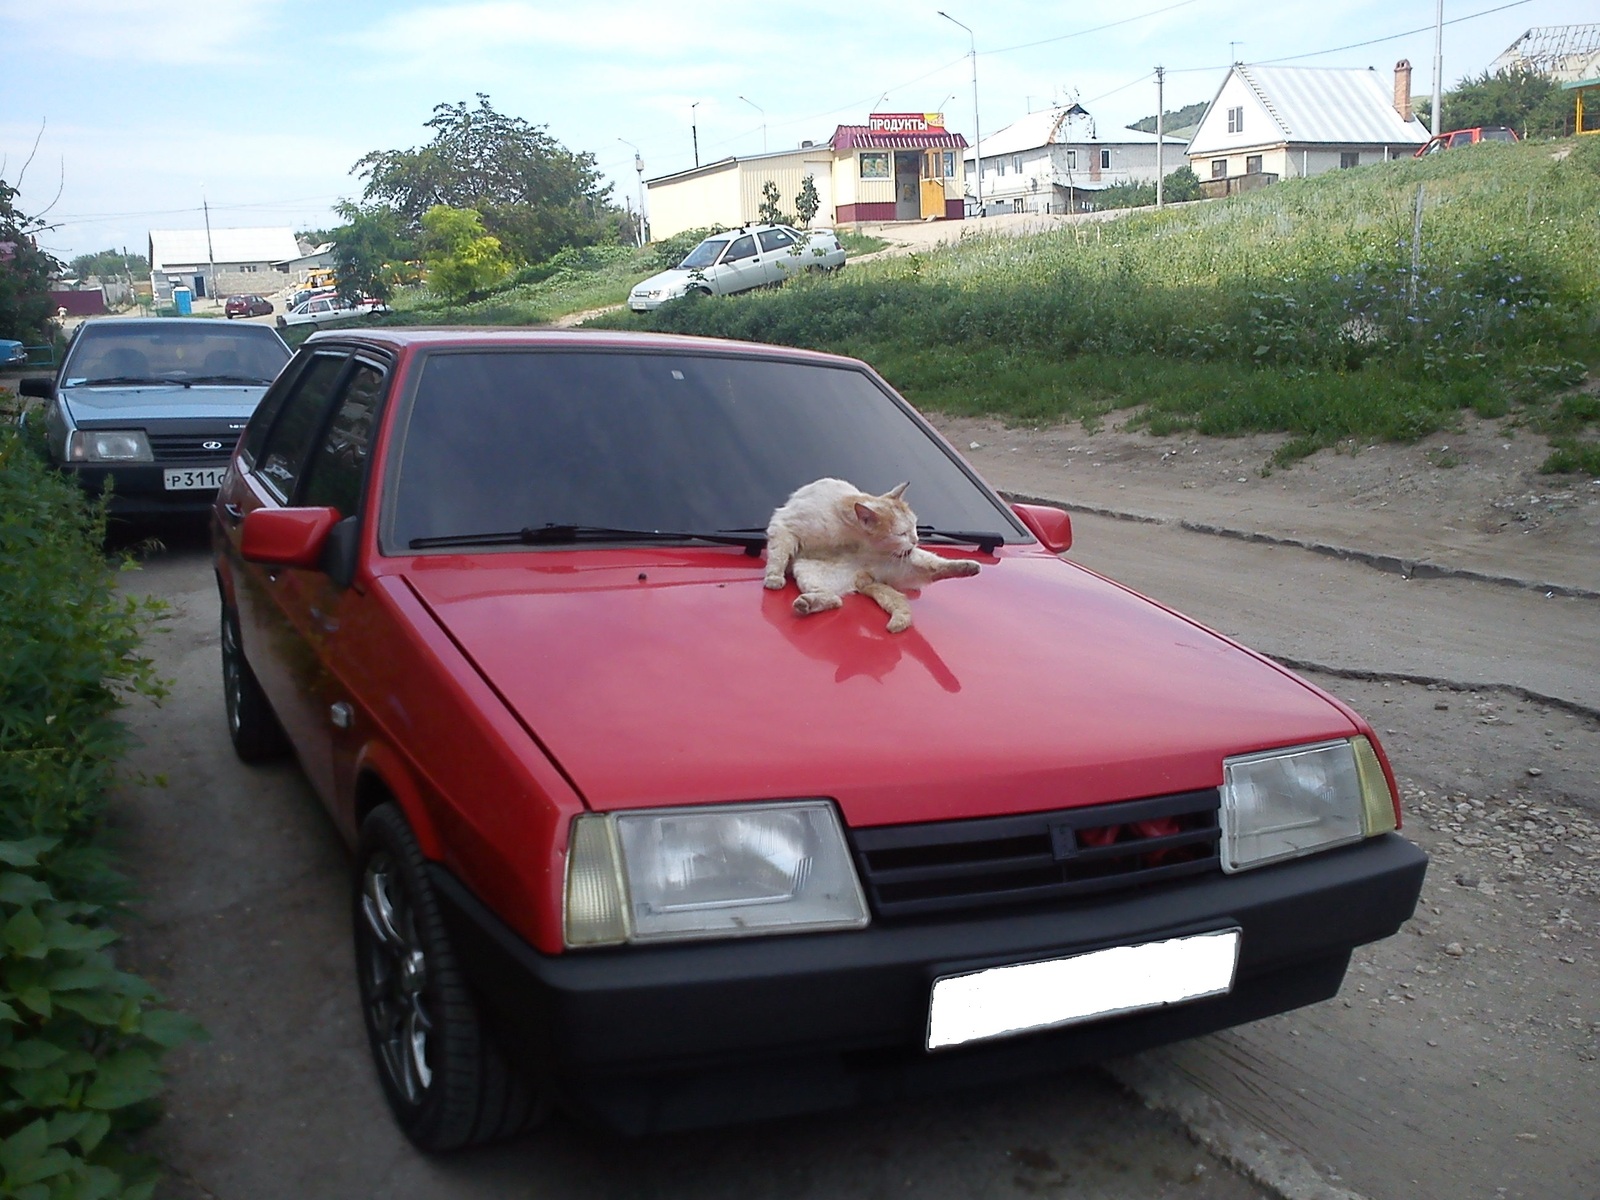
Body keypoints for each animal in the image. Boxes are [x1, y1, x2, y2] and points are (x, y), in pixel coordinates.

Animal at [761, 476, 972, 633]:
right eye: (902, 534)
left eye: (914, 527)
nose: (916, 540)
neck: (850, 535)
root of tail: (864, 575)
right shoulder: (784, 525)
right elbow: (778, 554)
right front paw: (774, 578)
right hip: (808, 570)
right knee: (835, 599)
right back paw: (807, 604)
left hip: (908, 561)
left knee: (936, 568)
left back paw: (969, 567)